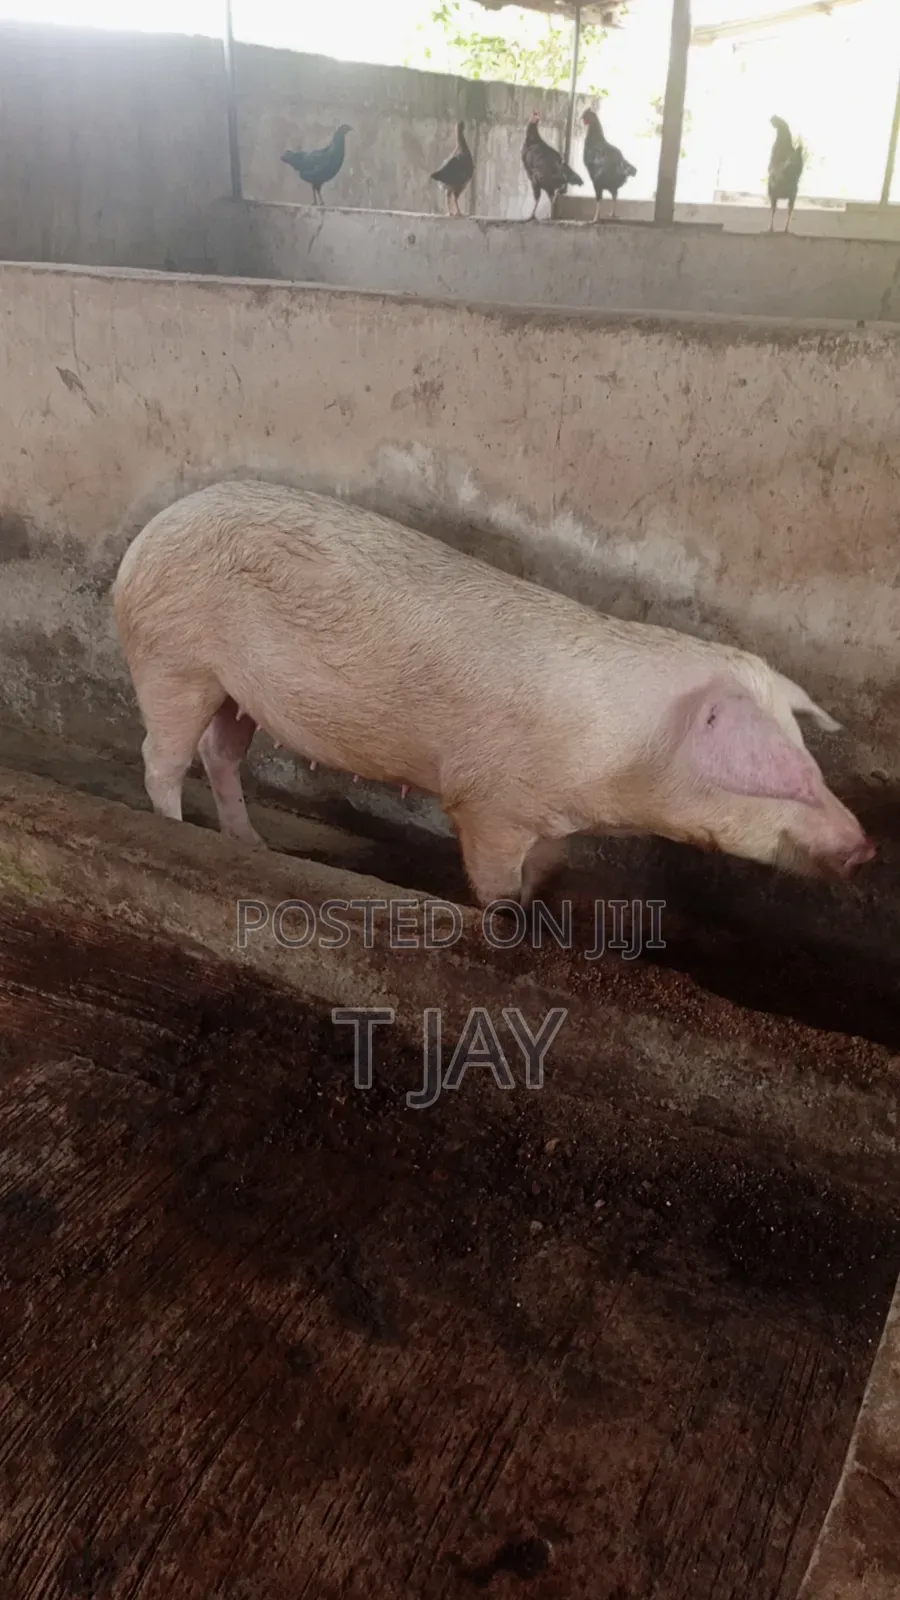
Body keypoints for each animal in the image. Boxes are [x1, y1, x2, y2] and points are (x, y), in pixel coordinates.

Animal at [111, 479, 876, 908]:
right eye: (784, 773)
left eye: (807, 754)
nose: (866, 848)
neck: (618, 763)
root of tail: (144, 538)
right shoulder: (486, 801)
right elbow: (495, 881)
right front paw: (507, 919)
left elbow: (547, 866)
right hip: (174, 661)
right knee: (160, 757)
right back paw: (178, 832)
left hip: (235, 690)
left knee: (221, 753)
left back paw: (255, 846)